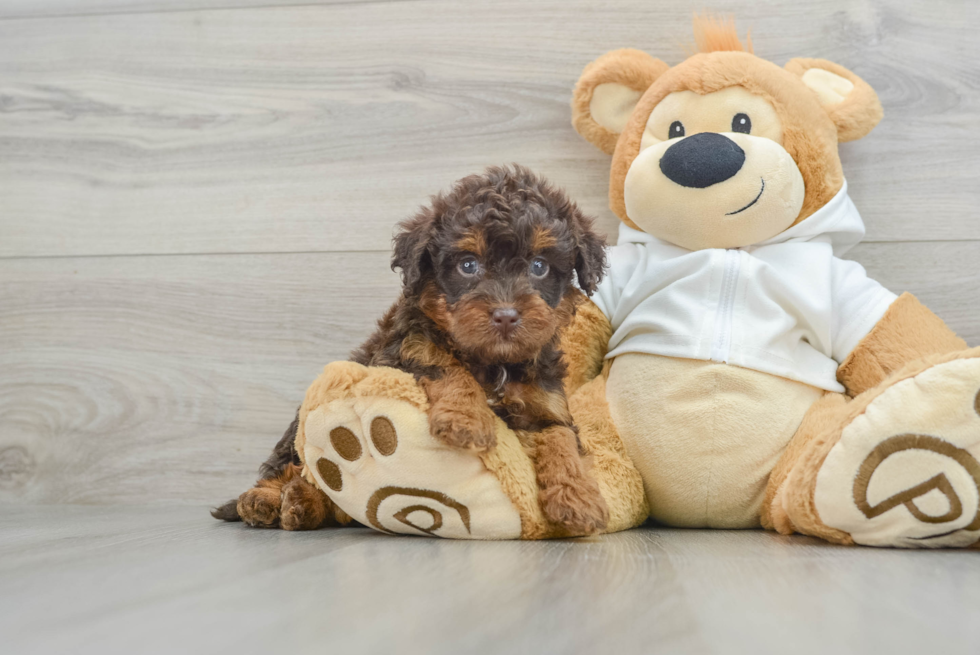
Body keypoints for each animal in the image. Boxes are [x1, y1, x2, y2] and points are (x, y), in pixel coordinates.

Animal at [213, 164, 608, 532]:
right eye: (468, 265)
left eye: (540, 266)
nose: (506, 316)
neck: (493, 363)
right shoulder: (402, 350)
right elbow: (445, 364)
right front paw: (467, 420)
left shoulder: (547, 404)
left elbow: (561, 438)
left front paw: (579, 497)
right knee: (291, 468)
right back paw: (266, 500)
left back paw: (301, 504)